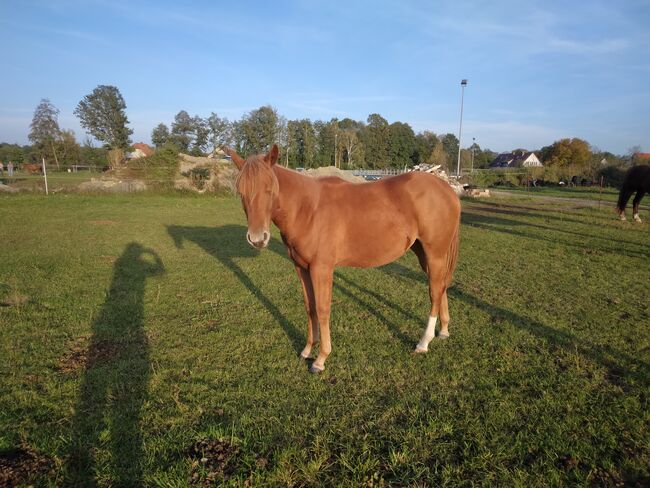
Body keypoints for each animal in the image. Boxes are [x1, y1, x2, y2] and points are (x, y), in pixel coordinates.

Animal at [225, 145, 458, 374]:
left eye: (270, 190)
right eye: (241, 192)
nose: (257, 239)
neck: (308, 209)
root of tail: (447, 190)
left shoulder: (321, 269)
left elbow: (322, 309)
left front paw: (321, 359)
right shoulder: (301, 267)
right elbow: (310, 308)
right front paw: (307, 350)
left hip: (435, 253)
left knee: (434, 293)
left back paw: (423, 342)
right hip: (424, 254)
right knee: (440, 287)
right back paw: (444, 331)